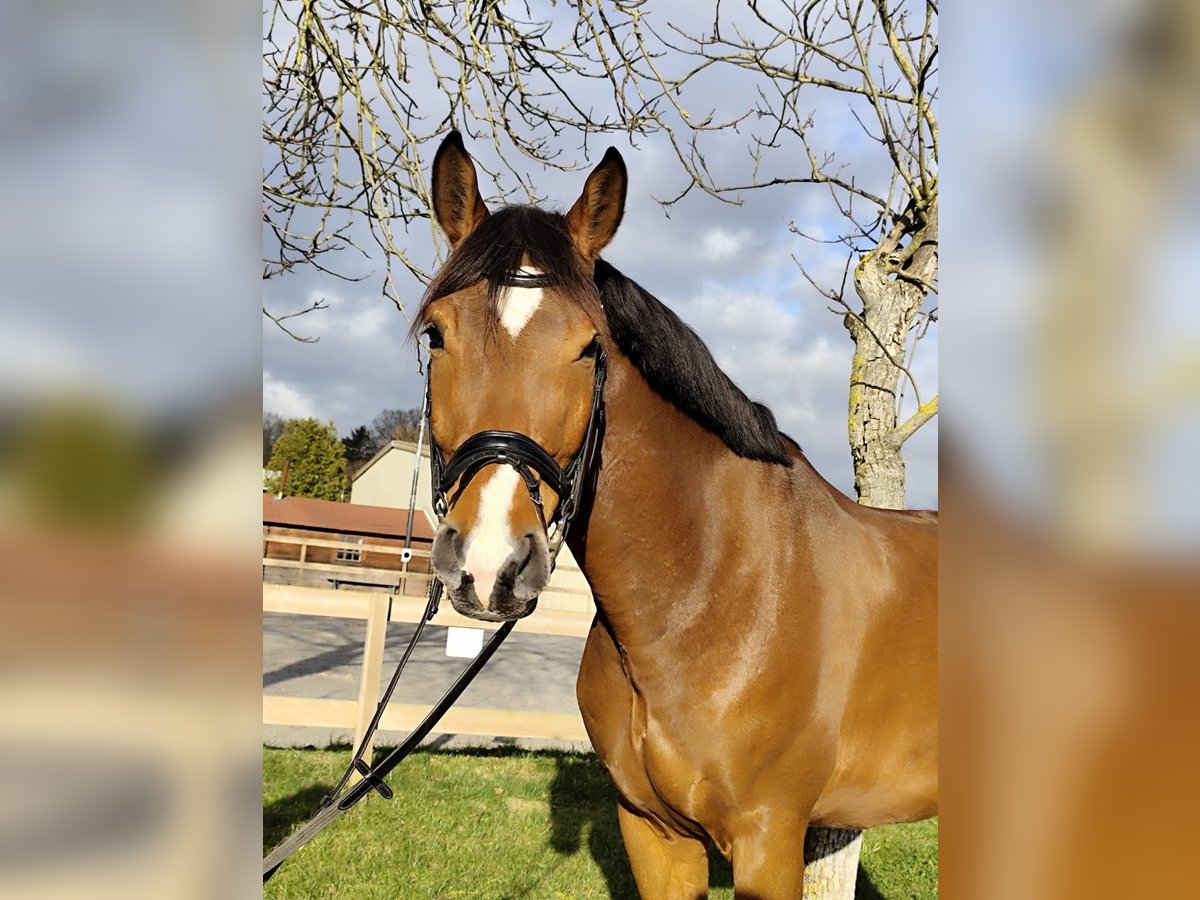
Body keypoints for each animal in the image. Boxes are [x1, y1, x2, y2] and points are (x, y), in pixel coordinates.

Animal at [417, 133, 940, 900]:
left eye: (589, 347)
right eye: (435, 336)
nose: (489, 566)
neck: (709, 594)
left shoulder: (768, 841)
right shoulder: (652, 832)